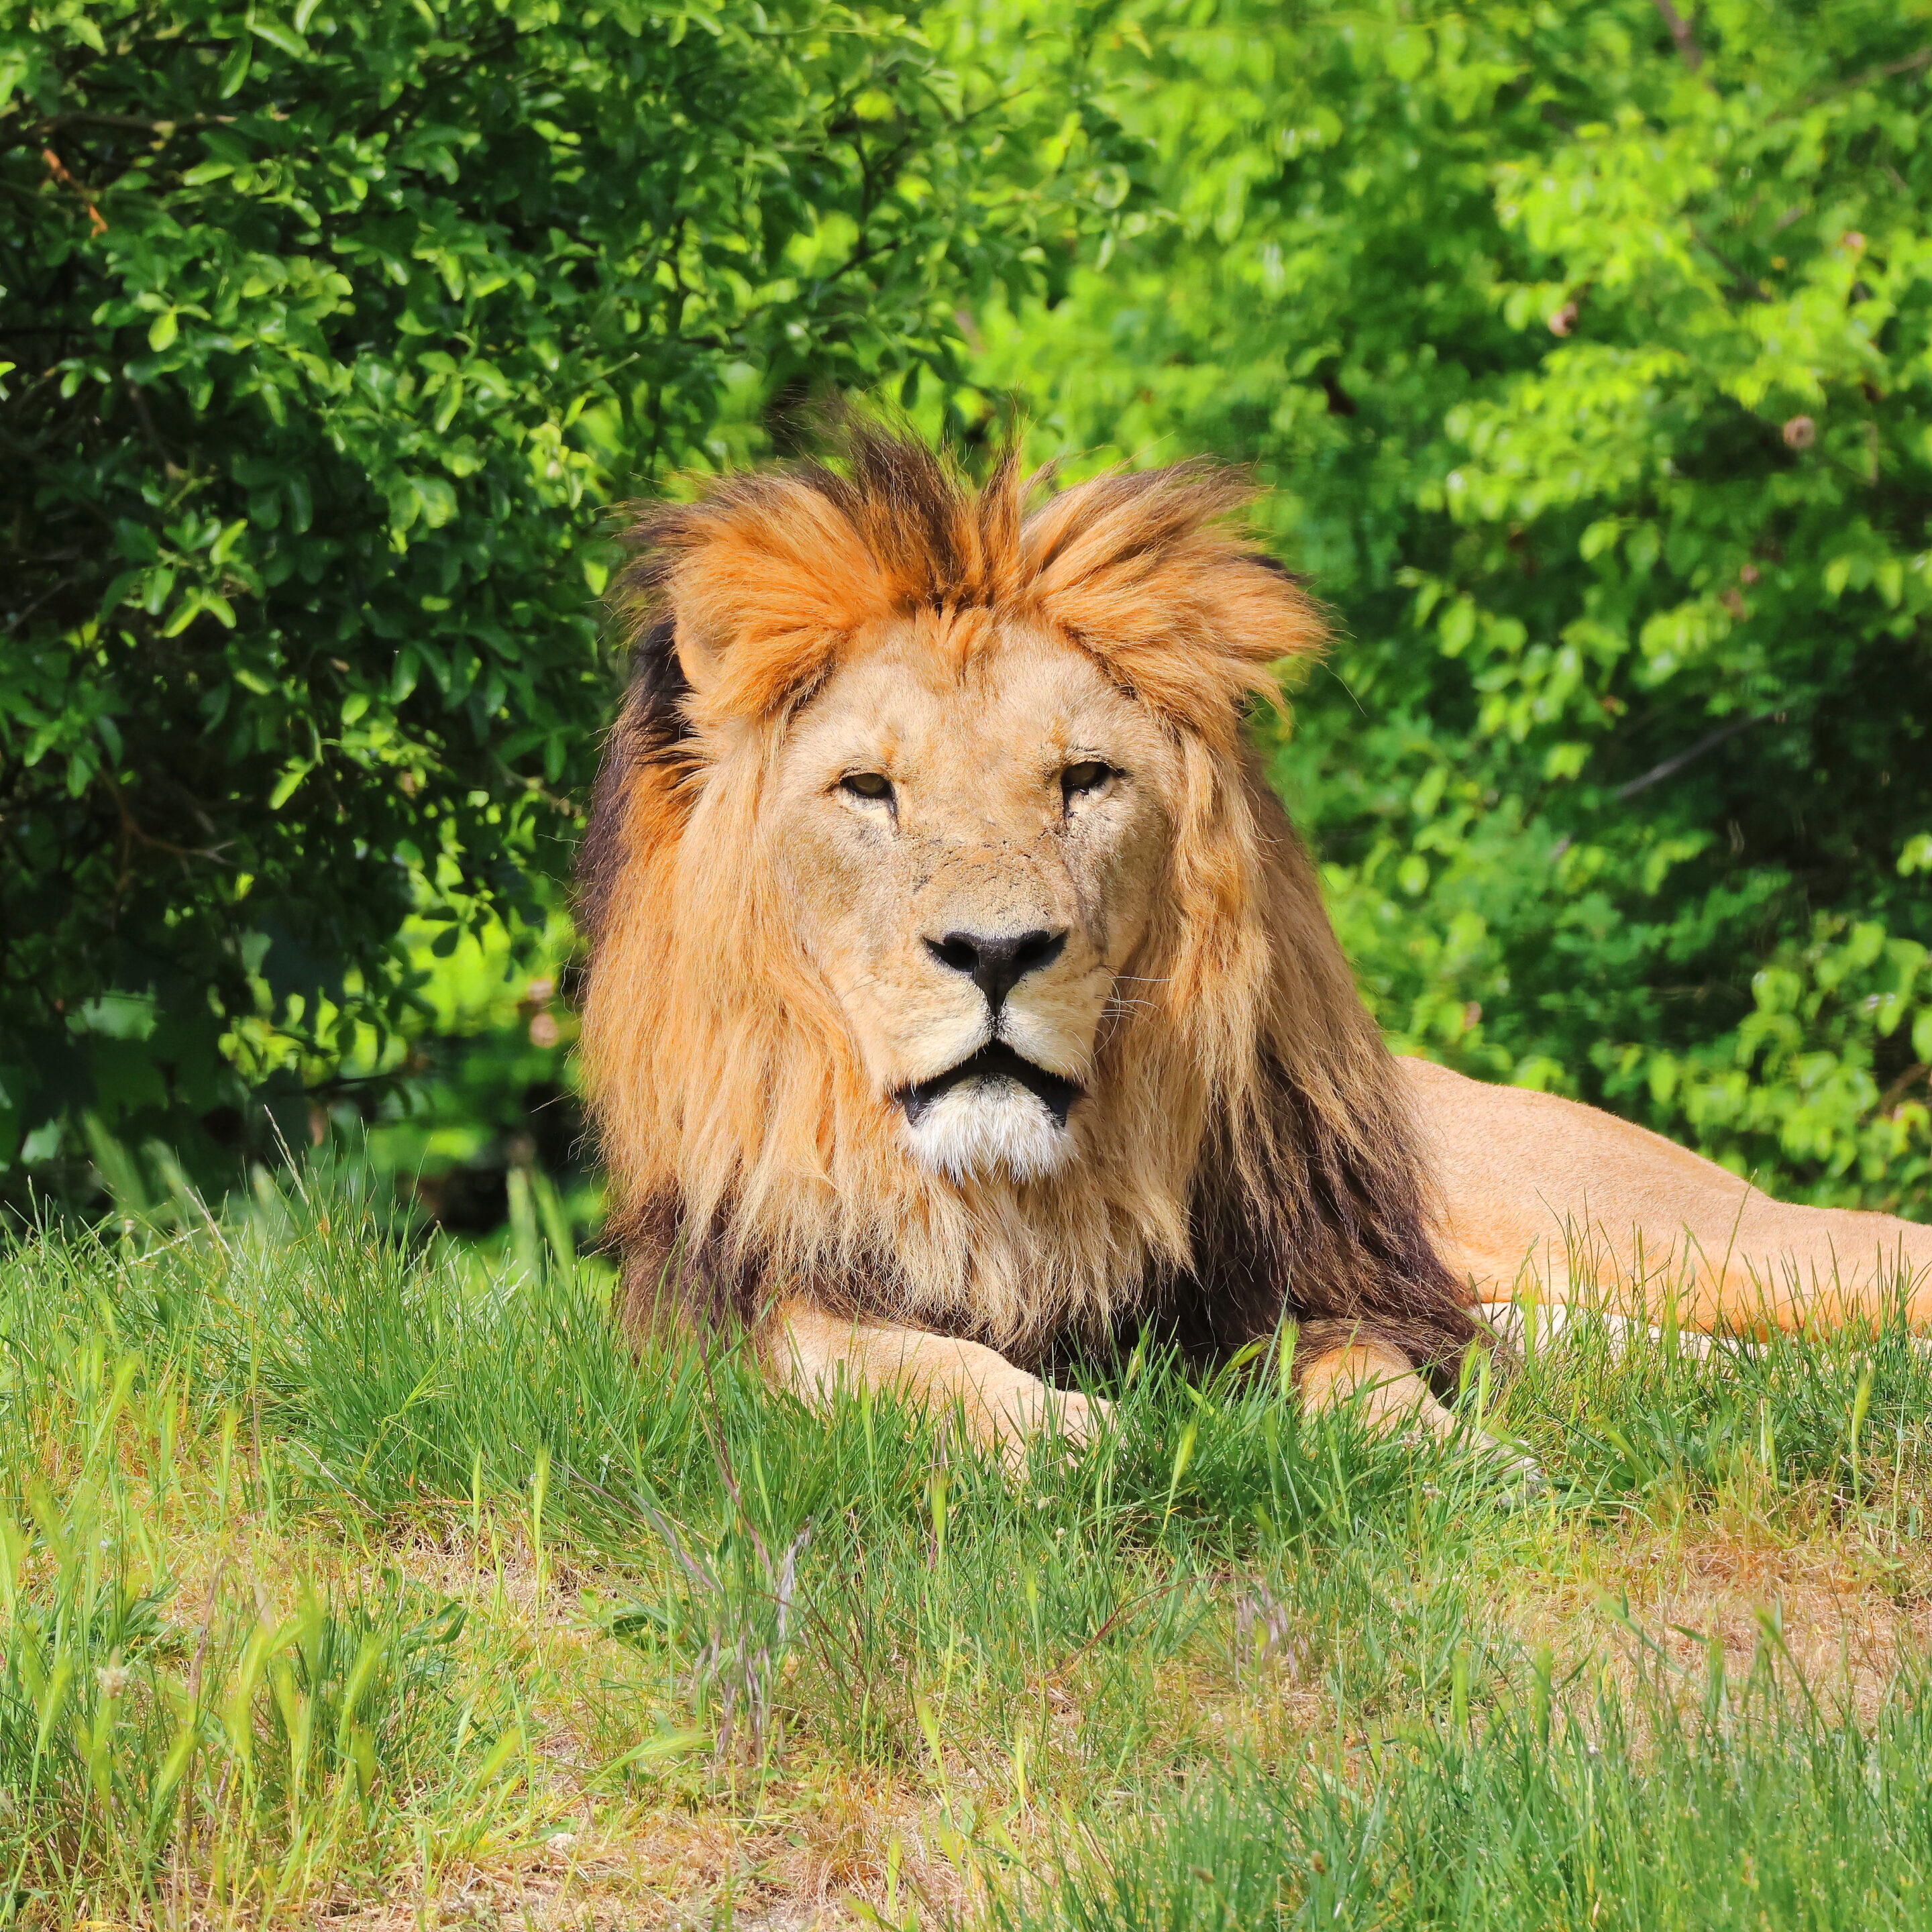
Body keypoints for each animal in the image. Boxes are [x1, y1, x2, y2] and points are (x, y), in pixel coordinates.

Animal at [577, 427, 1932, 1459]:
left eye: (1084, 781)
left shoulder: (1306, 1284)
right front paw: (1059, 1436)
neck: (1013, 1202)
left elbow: (1366, 1370)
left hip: (1672, 1236)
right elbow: (863, 1352)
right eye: (869, 791)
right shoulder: (713, 1316)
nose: (999, 953)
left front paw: (1457, 1458)